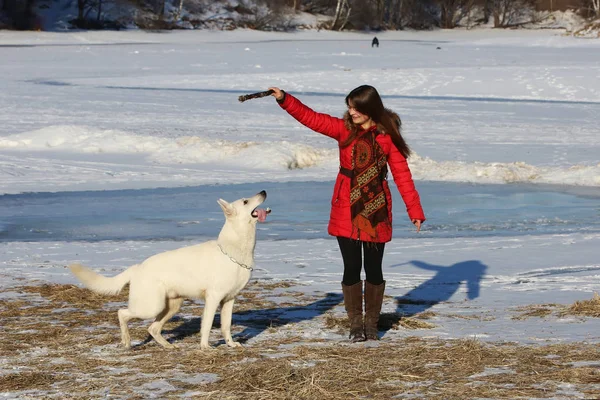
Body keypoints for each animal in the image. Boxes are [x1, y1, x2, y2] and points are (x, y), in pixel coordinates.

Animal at [67, 191, 270, 350]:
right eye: (245, 201)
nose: (263, 191)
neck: (233, 250)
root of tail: (137, 268)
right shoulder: (213, 299)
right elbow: (206, 326)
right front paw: (205, 347)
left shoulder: (229, 299)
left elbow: (226, 326)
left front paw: (230, 344)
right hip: (151, 307)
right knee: (122, 313)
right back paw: (127, 341)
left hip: (171, 306)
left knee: (152, 328)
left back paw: (167, 345)